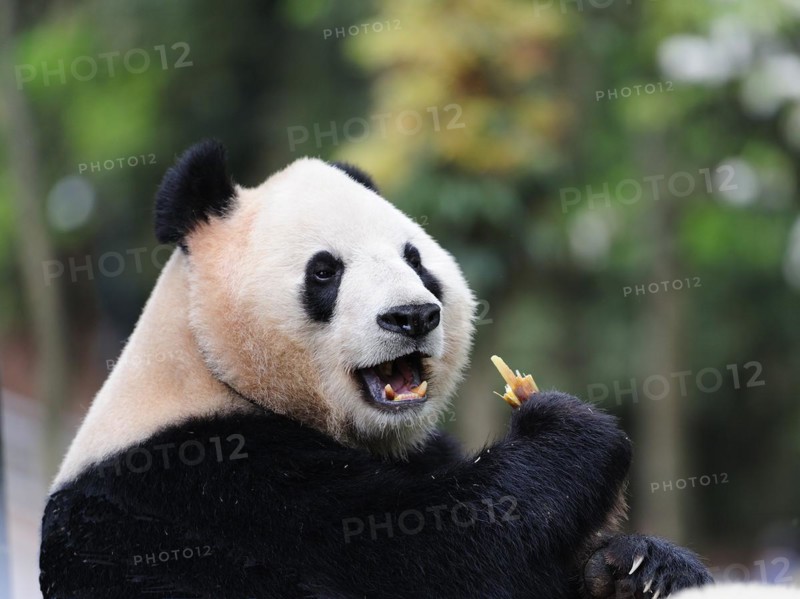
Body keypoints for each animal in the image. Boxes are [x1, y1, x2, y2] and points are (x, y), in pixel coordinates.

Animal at [40, 140, 713, 599]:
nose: (413, 315)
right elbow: (435, 550)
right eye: (324, 271)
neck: (210, 366)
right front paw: (569, 428)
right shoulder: (210, 481)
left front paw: (636, 568)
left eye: (415, 259)